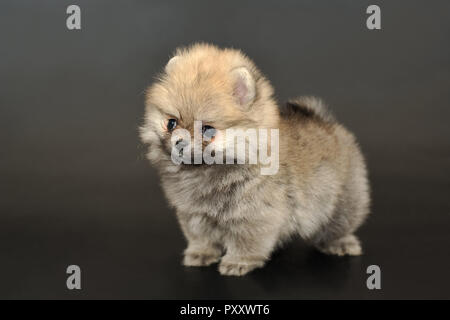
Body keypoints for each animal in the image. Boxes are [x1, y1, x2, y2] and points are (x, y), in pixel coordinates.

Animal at [141, 43, 370, 276]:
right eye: (171, 123)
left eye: (207, 130)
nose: (179, 142)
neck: (206, 171)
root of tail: (325, 121)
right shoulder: (195, 213)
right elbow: (201, 236)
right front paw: (201, 253)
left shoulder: (253, 214)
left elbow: (246, 240)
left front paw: (238, 261)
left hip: (343, 197)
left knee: (340, 223)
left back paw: (340, 243)